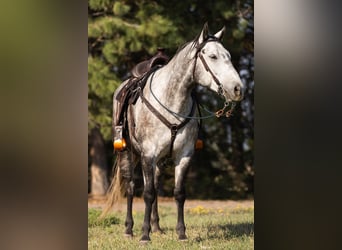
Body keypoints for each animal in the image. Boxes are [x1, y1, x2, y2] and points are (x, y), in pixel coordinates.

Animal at [103, 23, 243, 242]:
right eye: (212, 56)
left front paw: (181, 233)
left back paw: (156, 227)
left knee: (155, 185)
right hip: (127, 152)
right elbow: (148, 193)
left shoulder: (184, 155)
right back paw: (129, 229)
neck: (171, 100)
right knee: (132, 187)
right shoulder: (148, 154)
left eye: (228, 55)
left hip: (159, 161)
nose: (238, 89)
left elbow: (178, 193)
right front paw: (144, 236)